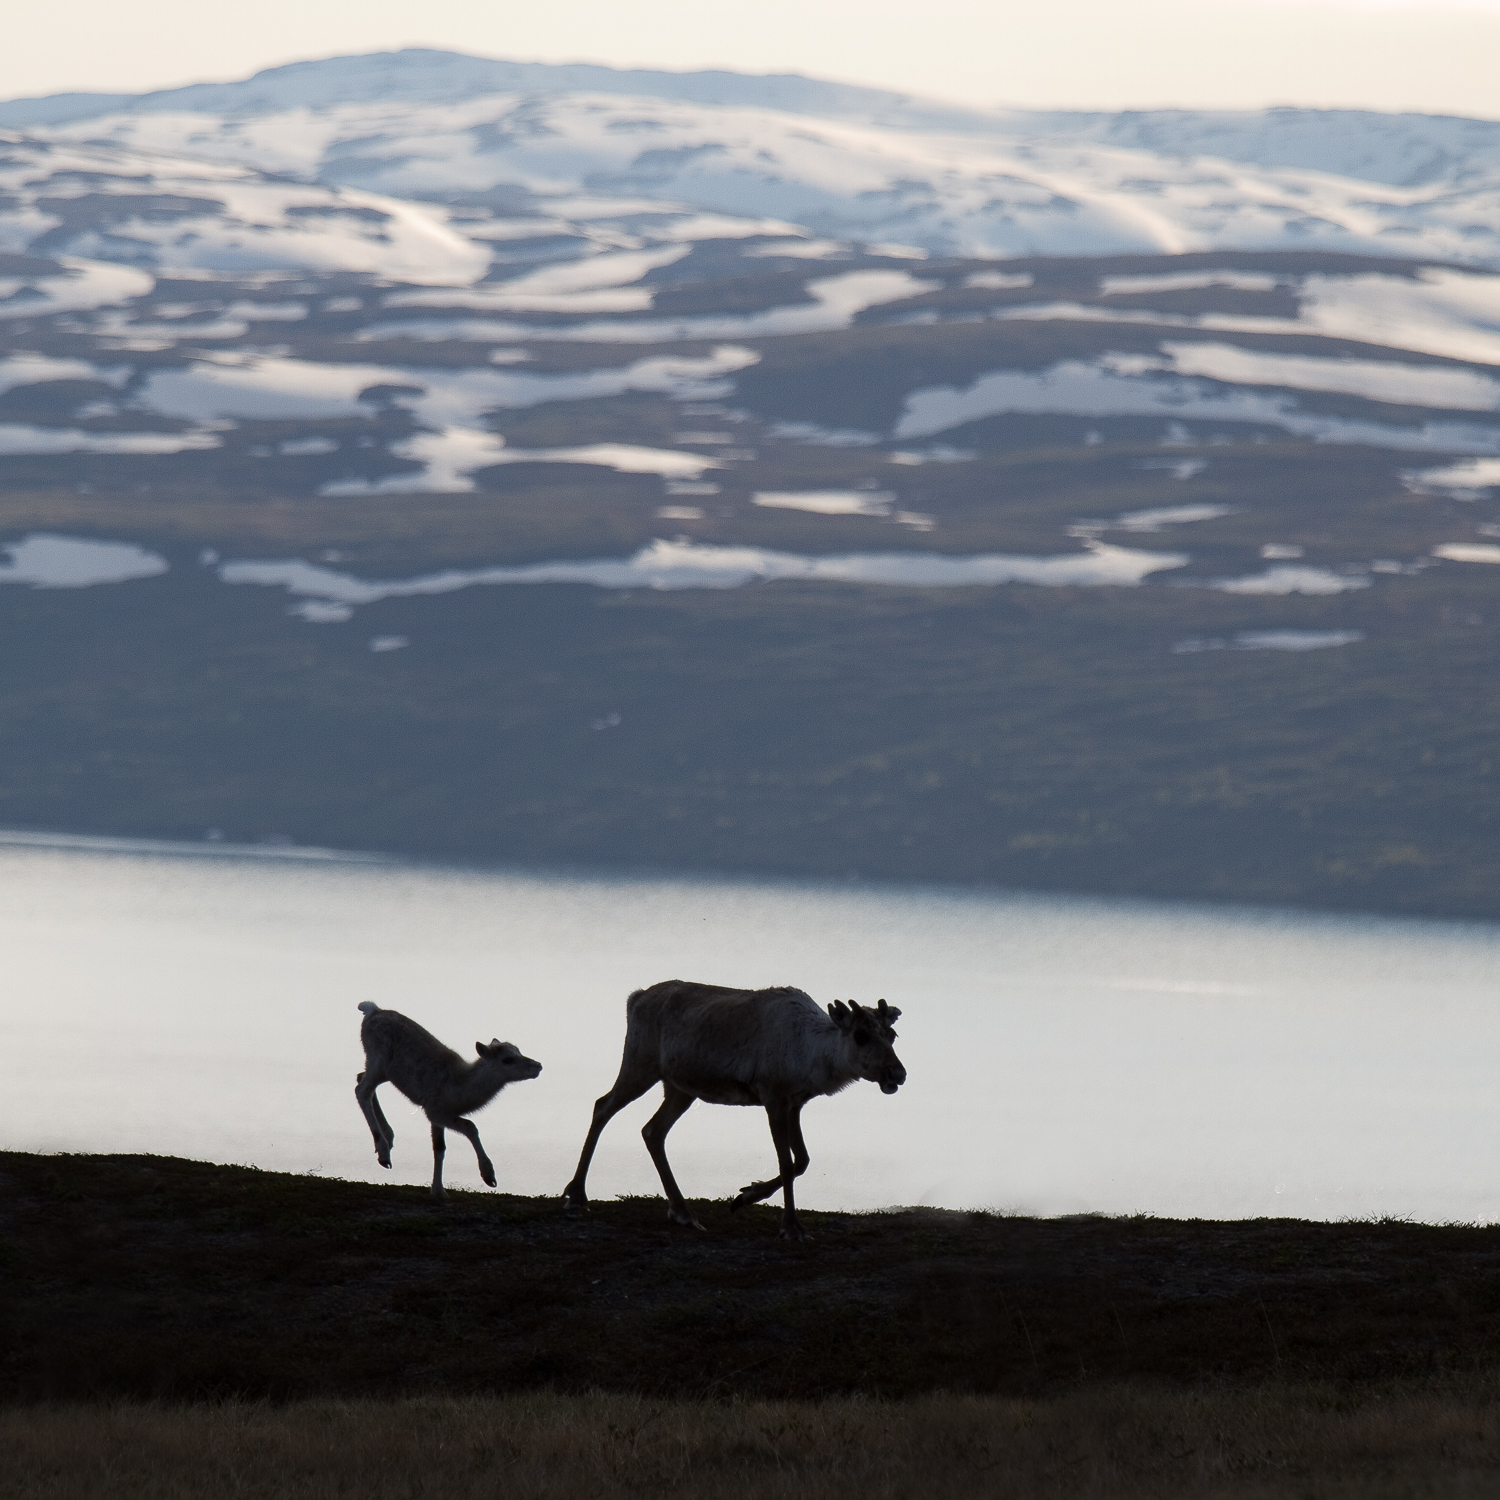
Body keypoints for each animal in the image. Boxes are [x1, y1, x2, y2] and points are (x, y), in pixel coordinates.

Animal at [354, 1002, 543, 1200]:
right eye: (507, 1059)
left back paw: (389, 1139)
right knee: (362, 1091)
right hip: (378, 1060)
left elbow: (439, 1148)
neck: (459, 1090)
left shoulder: (437, 1117)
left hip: (384, 1071)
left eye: (519, 1051)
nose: (538, 1066)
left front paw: (439, 1190)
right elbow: (470, 1127)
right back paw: (384, 1153)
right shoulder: (435, 1110)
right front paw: (489, 1177)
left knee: (360, 1078)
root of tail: (371, 1010)